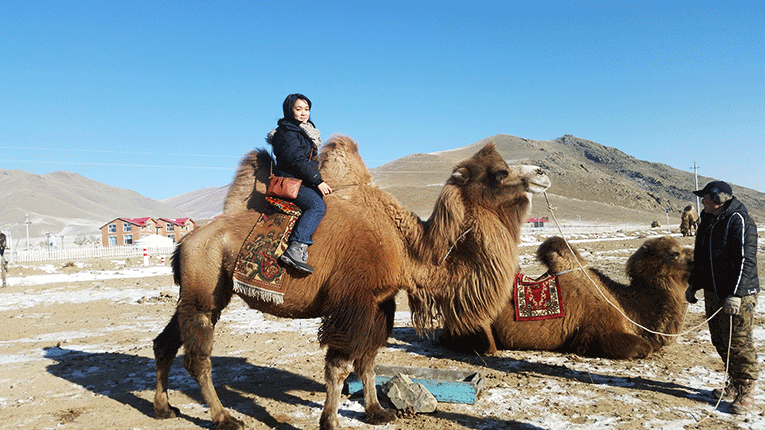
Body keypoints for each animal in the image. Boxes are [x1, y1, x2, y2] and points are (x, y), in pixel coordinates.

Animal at [152, 136, 551, 430]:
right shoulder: (352, 301)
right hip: (204, 288)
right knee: (198, 357)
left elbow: (369, 360)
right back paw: (224, 418)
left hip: (194, 292)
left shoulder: (380, 301)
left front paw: (376, 411)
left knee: (165, 342)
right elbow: (341, 364)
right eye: (498, 173)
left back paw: (163, 408)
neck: (403, 246)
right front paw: (329, 421)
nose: (543, 172)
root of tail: (187, 241)